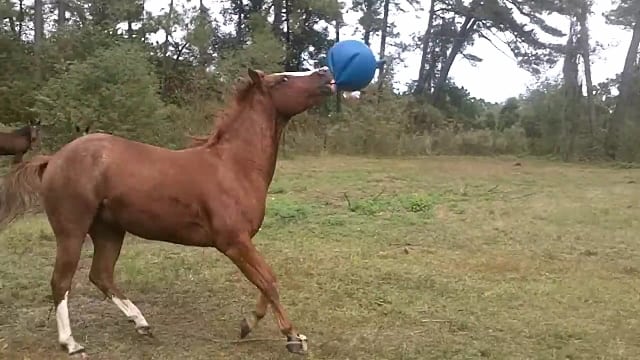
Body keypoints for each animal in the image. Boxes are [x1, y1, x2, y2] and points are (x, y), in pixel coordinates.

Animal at [0, 67, 338, 358]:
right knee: (61, 281)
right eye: (282, 80)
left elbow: (265, 283)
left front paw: (248, 326)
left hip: (109, 230)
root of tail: (53, 159)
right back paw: (71, 343)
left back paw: (141, 324)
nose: (326, 74)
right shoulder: (233, 242)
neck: (233, 165)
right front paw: (293, 338)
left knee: (101, 274)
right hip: (71, 229)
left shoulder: (242, 243)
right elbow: (269, 281)